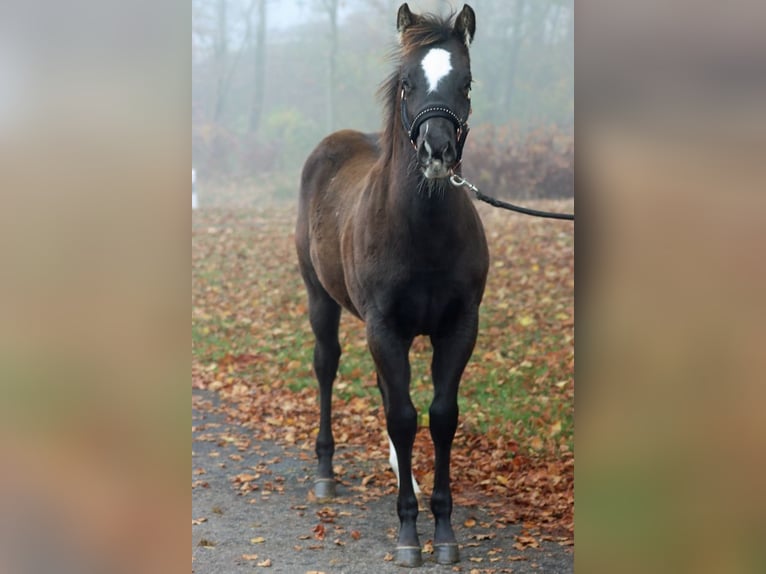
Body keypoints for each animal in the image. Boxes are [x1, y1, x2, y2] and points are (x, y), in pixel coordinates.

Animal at [295, 3, 489, 567]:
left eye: (466, 82)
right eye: (408, 82)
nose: (436, 152)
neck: (420, 230)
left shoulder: (457, 328)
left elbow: (441, 416)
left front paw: (443, 529)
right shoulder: (384, 328)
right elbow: (403, 417)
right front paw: (408, 533)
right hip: (321, 299)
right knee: (327, 366)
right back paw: (325, 472)